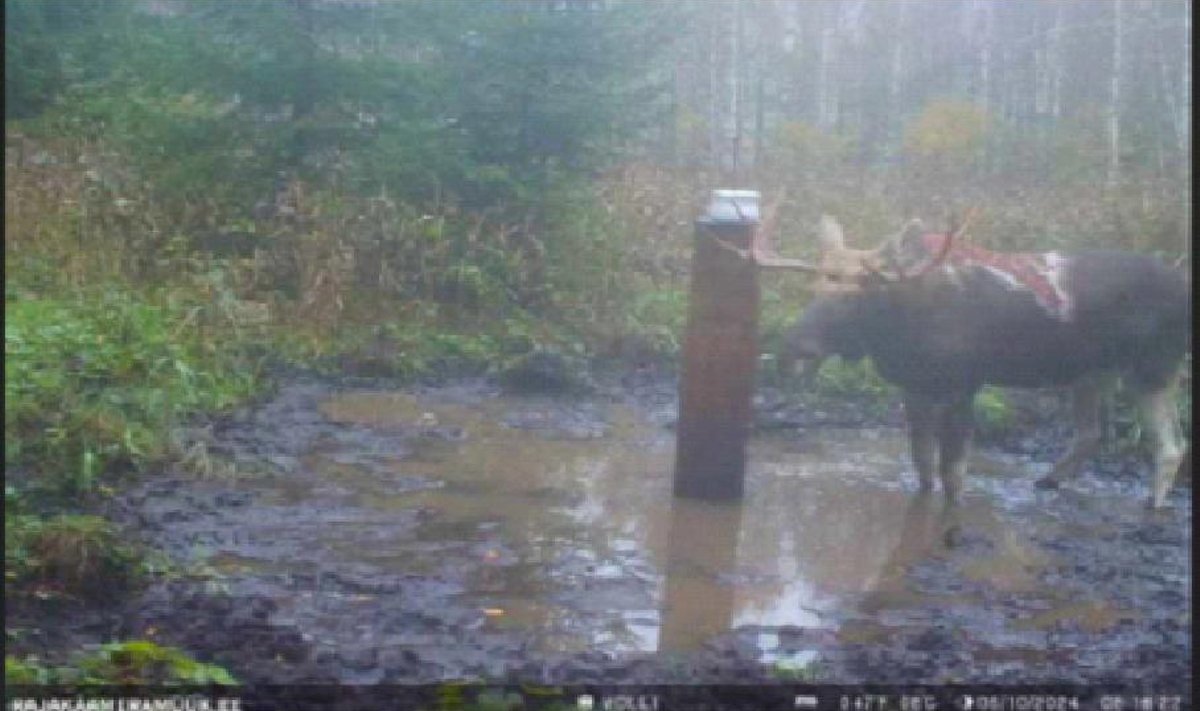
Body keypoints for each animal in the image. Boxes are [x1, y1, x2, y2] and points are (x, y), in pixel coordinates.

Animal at [739, 213, 1190, 509]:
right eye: (813, 288)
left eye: (856, 297)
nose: (793, 352)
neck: (898, 331)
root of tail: (1184, 283)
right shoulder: (915, 387)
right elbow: (923, 468)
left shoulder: (962, 386)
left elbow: (952, 475)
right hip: (1091, 373)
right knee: (1090, 434)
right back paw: (1047, 481)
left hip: (1154, 367)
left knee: (1171, 444)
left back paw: (1153, 503)